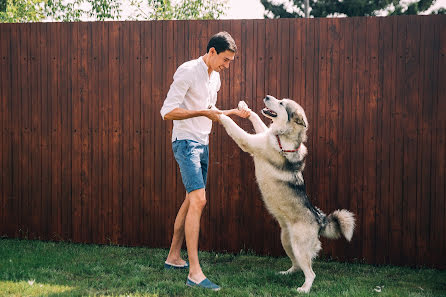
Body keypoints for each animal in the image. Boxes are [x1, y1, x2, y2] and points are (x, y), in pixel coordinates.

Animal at [217, 95, 356, 292]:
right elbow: (257, 120)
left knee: (310, 272)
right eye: (279, 99)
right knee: (297, 265)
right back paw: (287, 273)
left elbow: (232, 125)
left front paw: (215, 111)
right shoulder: (264, 133)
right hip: (286, 241)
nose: (267, 96)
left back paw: (304, 289)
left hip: (299, 247)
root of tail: (319, 219)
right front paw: (245, 109)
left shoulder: (249, 141)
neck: (282, 135)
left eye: (282, 103)